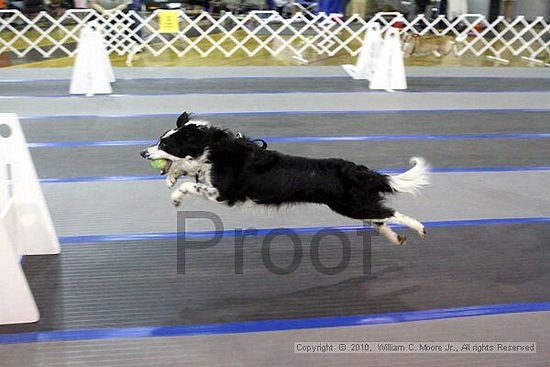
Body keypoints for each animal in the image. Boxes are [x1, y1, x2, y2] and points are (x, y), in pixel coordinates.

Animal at [141, 112, 432, 244]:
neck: (213, 147)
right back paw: (397, 238)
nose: (143, 152)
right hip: (354, 205)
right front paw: (172, 177)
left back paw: (419, 228)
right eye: (159, 140)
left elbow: (192, 184)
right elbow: (188, 174)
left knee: (390, 213)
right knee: (380, 218)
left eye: (165, 144)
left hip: (350, 205)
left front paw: (175, 195)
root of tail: (356, 169)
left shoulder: (225, 193)